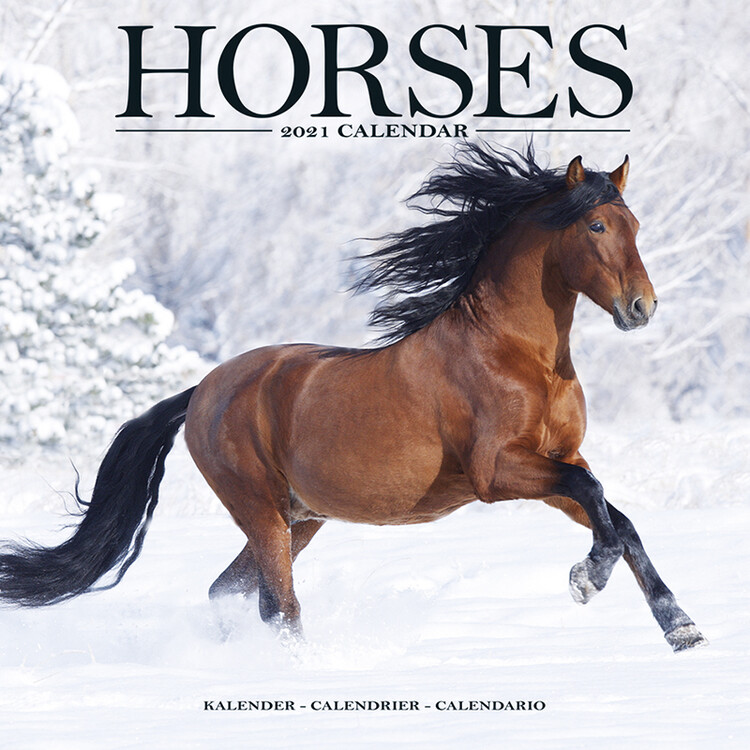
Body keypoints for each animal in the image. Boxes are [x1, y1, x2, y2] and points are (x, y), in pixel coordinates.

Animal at [0, 143, 707, 652]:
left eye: (636, 223)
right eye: (596, 224)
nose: (641, 307)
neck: (516, 355)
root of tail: (204, 389)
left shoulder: (560, 461)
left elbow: (618, 518)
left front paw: (681, 627)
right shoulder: (498, 472)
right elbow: (599, 502)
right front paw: (586, 581)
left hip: (300, 517)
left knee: (228, 592)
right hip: (261, 510)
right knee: (278, 605)